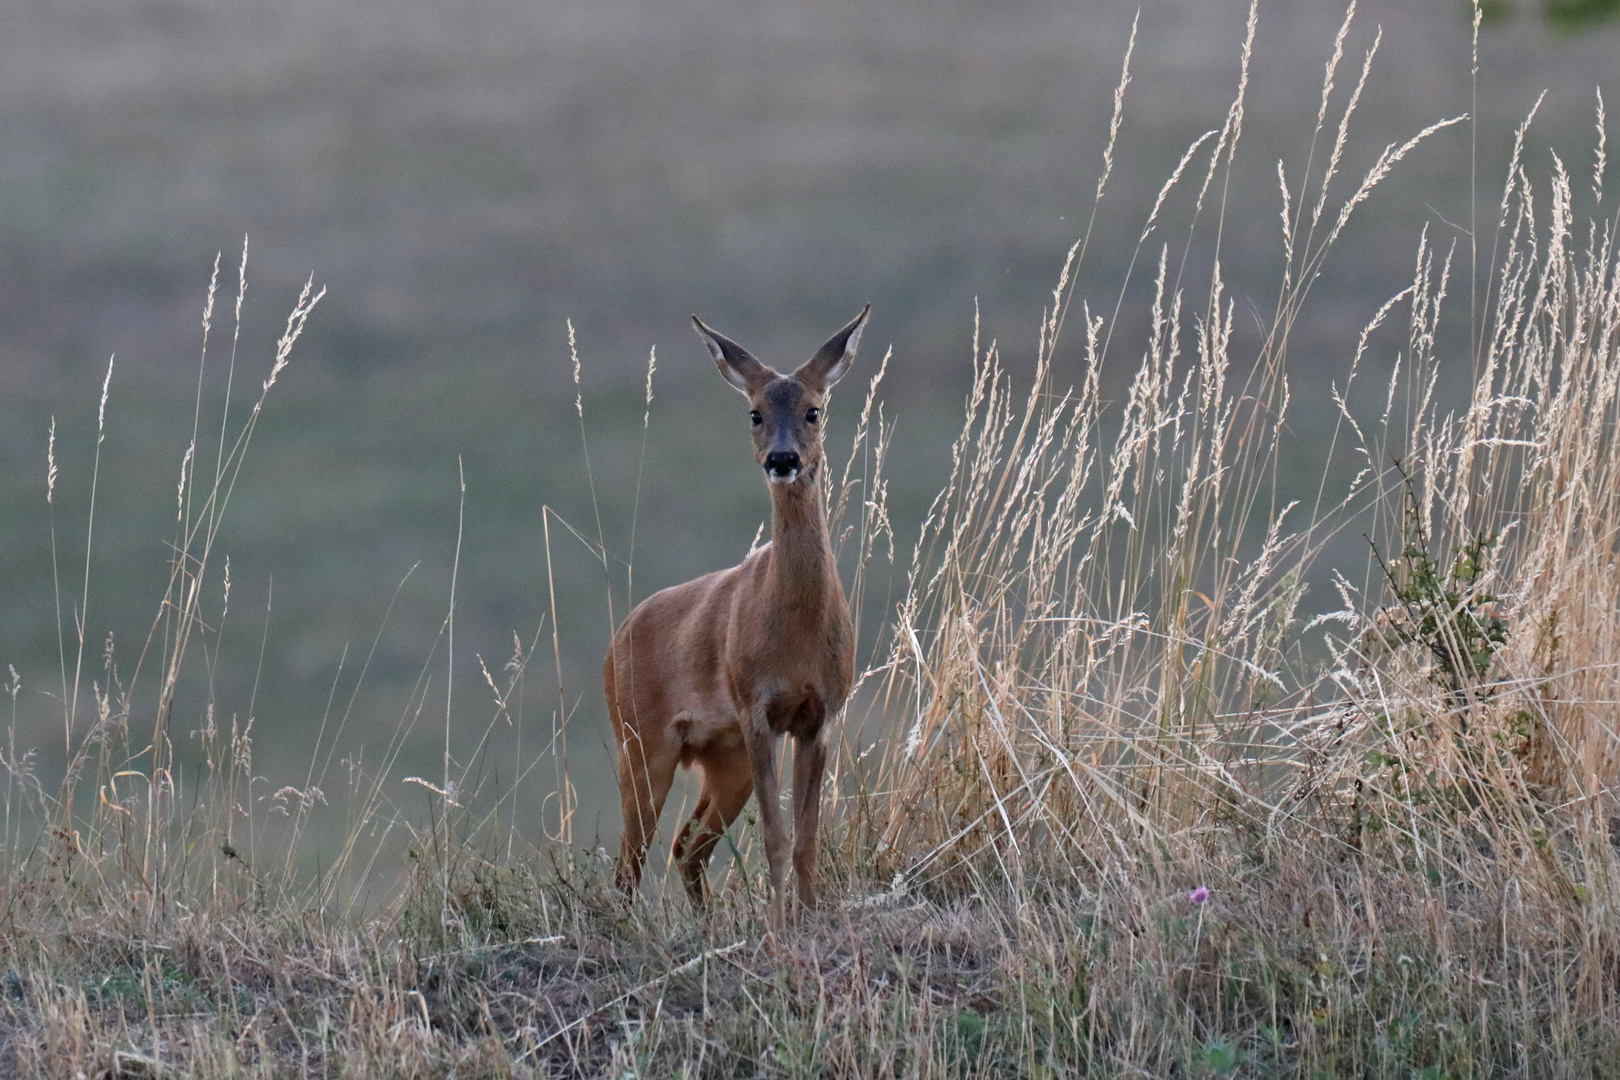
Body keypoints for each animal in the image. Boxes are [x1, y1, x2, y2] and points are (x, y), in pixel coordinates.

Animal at [602, 302, 868, 932]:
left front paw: (807, 917)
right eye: (754, 413)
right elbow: (776, 835)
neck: (796, 633)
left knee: (686, 845)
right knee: (632, 859)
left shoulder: (820, 713)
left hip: (723, 759)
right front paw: (778, 925)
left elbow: (807, 836)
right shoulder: (756, 708)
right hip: (640, 739)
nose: (782, 459)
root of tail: (613, 644)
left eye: (814, 409)